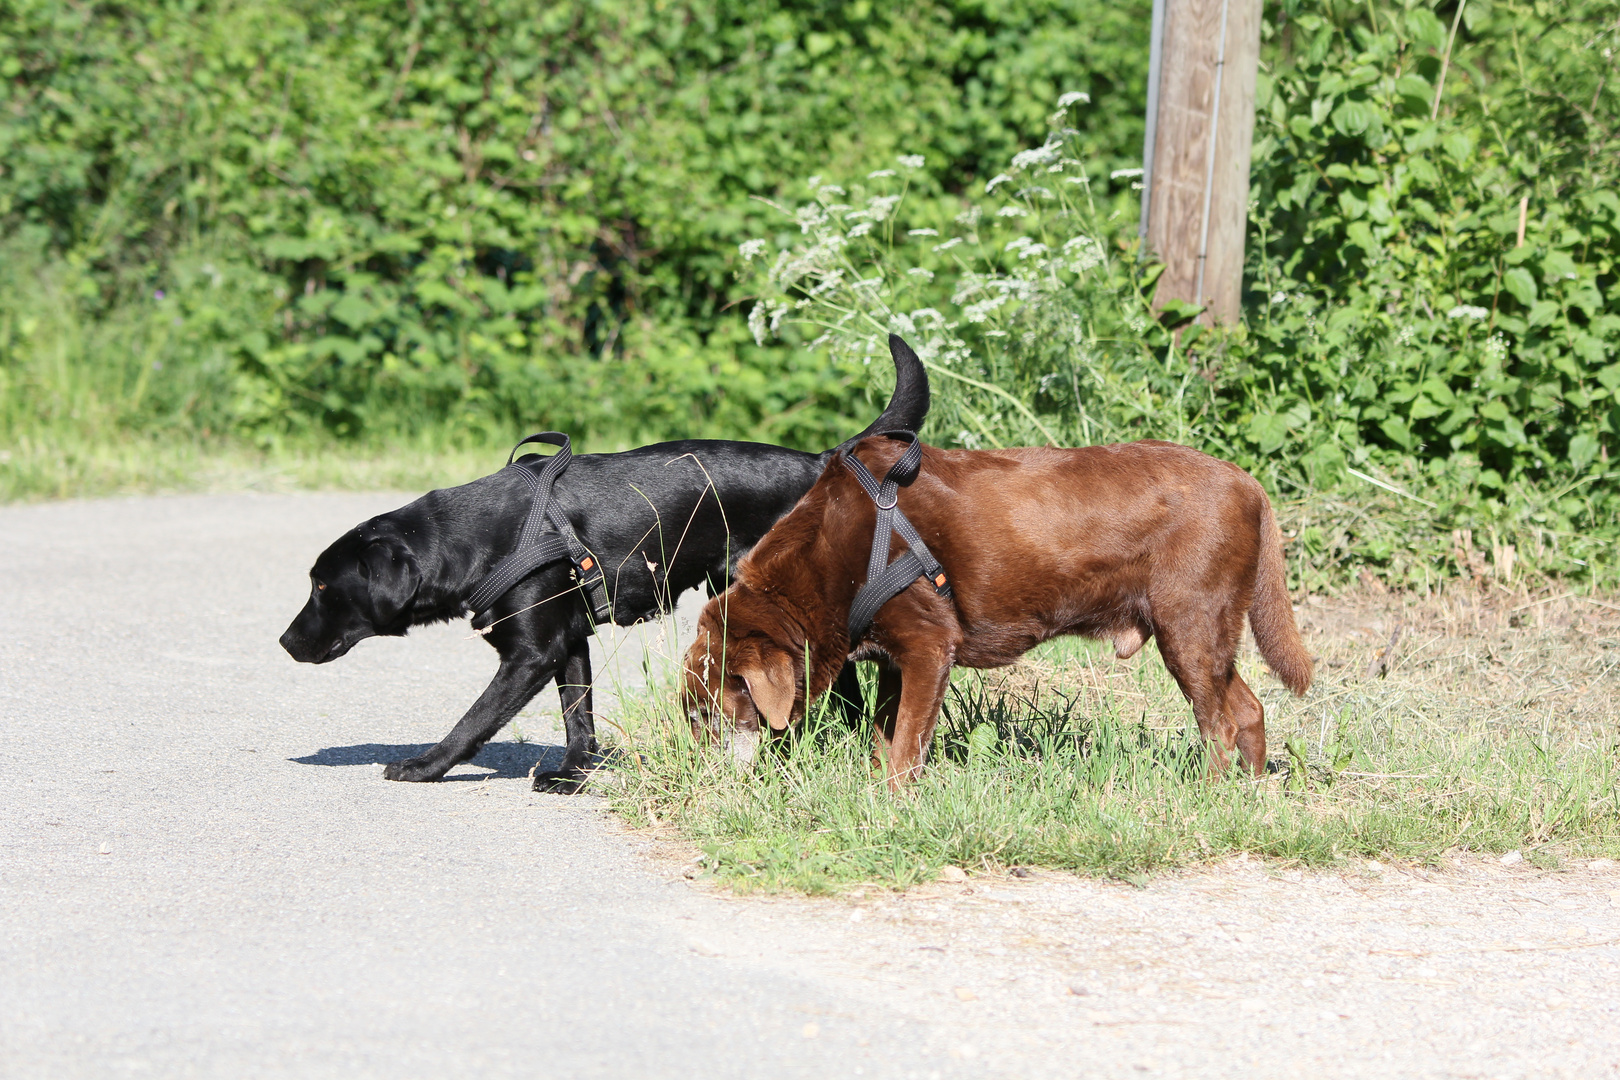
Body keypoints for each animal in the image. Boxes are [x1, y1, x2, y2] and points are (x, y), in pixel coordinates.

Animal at [285, 333, 933, 790]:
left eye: (322, 588)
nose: (285, 643)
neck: (480, 537)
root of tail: (822, 462)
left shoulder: (531, 654)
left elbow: (474, 719)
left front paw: (425, 765)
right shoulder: (568, 639)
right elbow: (579, 717)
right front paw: (573, 775)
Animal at [686, 437, 1315, 786]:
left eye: (701, 714)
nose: (700, 777)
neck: (834, 552)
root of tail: (1249, 483)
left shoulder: (929, 647)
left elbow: (906, 746)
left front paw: (892, 803)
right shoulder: (895, 661)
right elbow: (886, 737)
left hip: (1188, 627)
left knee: (1220, 725)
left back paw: (1205, 795)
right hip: (1205, 636)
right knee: (1249, 710)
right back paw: (1248, 795)